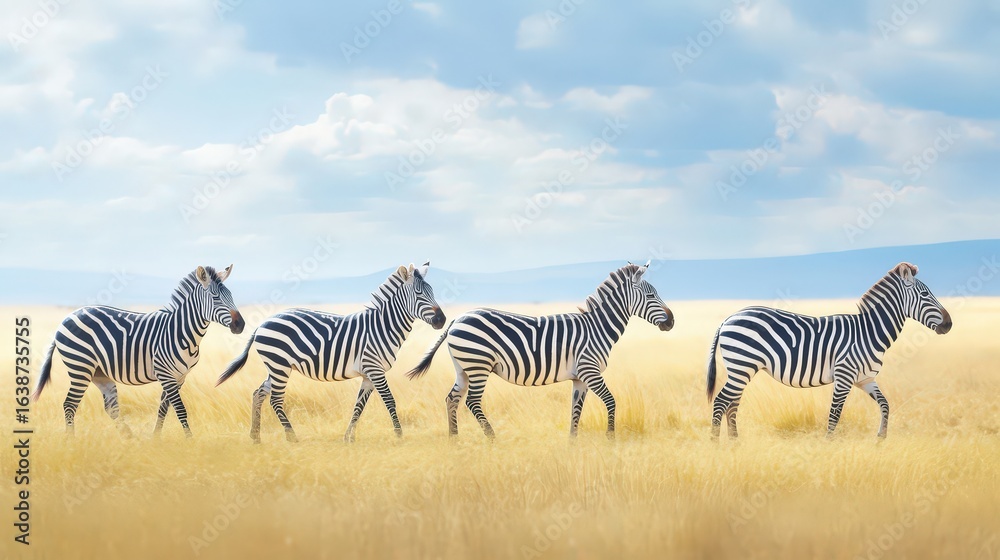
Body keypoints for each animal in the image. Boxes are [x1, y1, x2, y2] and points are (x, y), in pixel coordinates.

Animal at [32, 265, 245, 438]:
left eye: (231, 296)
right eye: (215, 298)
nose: (240, 324)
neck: (181, 331)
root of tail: (66, 317)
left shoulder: (179, 376)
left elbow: (163, 409)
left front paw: (155, 439)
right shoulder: (165, 373)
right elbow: (180, 409)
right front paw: (189, 441)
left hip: (100, 373)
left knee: (111, 408)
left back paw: (130, 439)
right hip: (80, 367)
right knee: (69, 405)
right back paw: (71, 440)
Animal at [215, 263, 446, 443]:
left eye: (433, 292)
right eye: (419, 294)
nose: (442, 320)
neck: (382, 326)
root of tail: (262, 323)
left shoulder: (368, 375)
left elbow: (358, 406)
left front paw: (349, 438)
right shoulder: (375, 369)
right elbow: (389, 400)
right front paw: (399, 436)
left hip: (276, 366)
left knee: (259, 393)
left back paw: (255, 436)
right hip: (279, 365)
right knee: (275, 400)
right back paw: (291, 437)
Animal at [407, 261, 674, 440]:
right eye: (651, 295)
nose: (672, 322)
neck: (596, 328)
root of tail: (457, 318)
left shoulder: (580, 378)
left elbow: (575, 412)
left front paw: (572, 444)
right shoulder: (590, 371)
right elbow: (611, 401)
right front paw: (610, 439)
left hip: (463, 368)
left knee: (452, 399)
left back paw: (454, 440)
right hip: (478, 365)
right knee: (472, 401)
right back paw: (492, 439)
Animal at [706, 262, 952, 440]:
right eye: (925, 295)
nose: (949, 324)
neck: (869, 332)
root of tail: (728, 318)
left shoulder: (865, 379)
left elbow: (885, 405)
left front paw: (880, 439)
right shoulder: (844, 376)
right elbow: (834, 415)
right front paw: (828, 446)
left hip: (742, 369)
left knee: (732, 405)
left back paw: (735, 444)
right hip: (742, 365)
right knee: (721, 402)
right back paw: (716, 446)